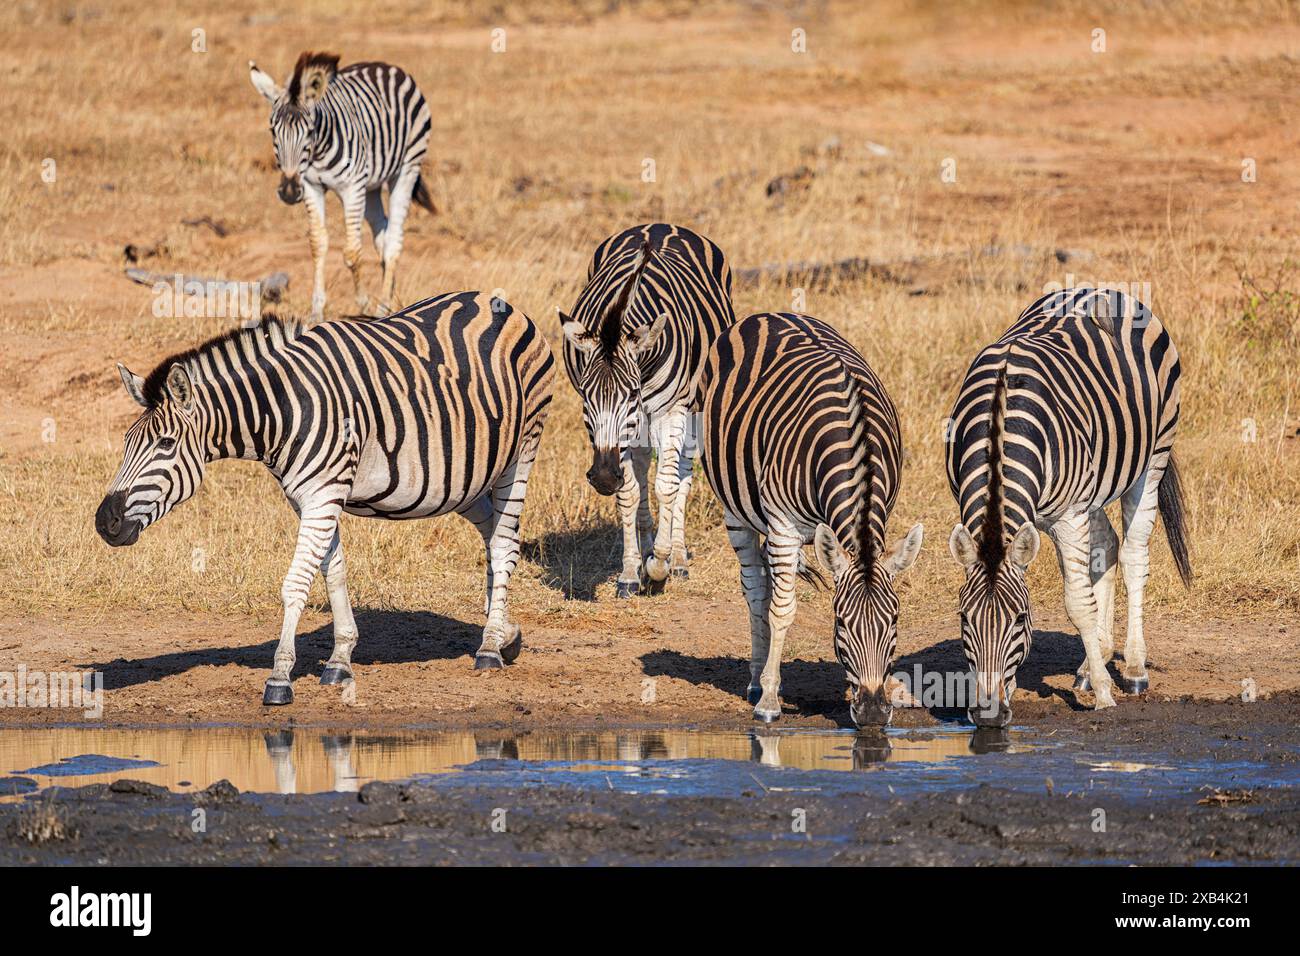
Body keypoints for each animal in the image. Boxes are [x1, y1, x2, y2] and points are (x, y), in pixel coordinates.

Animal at [94, 291, 553, 702]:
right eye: (126, 442)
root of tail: (499, 303)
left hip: (520, 455)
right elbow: (334, 572)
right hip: (461, 478)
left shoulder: (323, 495)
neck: (282, 410)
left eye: (166, 444)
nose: (105, 522)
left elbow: (296, 583)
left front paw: (280, 677)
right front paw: (339, 660)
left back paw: (490, 648)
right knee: (495, 535)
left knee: (504, 544)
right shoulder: (310, 498)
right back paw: (505, 633)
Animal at [248, 51, 436, 321]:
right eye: (273, 131)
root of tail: (385, 66)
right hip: (372, 186)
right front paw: (316, 312)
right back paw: (389, 297)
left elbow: (352, 252)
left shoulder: (352, 188)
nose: (289, 192)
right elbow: (317, 244)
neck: (318, 151)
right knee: (382, 237)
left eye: (310, 131)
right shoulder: (311, 186)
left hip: (407, 167)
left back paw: (382, 307)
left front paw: (364, 304)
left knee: (394, 241)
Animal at [561, 225, 738, 598]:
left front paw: (660, 565)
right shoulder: (620, 430)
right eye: (586, 397)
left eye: (630, 393)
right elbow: (630, 492)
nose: (602, 477)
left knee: (682, 476)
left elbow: (667, 487)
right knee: (641, 473)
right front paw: (632, 571)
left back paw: (677, 559)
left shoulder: (670, 411)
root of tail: (661, 225)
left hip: (691, 410)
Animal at [702, 314, 925, 723]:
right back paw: (756, 681)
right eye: (840, 624)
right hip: (735, 509)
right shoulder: (783, 527)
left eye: (895, 621)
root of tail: (768, 314)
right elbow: (782, 611)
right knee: (755, 590)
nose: (872, 712)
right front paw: (769, 701)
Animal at [946, 283, 1190, 723]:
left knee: (1133, 555)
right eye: (963, 619)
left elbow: (1078, 602)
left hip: (1153, 456)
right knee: (1107, 544)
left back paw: (1133, 669)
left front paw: (1105, 694)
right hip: (1093, 486)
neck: (1000, 421)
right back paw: (1091, 666)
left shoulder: (1068, 515)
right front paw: (1094, 674)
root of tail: (1101, 288)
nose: (989, 714)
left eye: (1021, 620)